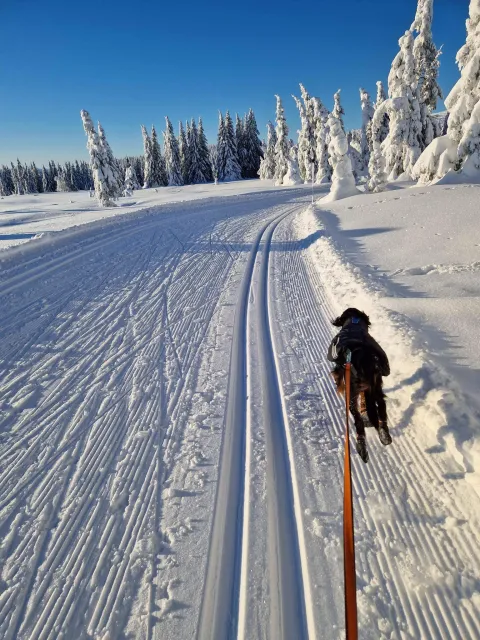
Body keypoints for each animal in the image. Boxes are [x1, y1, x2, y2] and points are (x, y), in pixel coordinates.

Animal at [328, 308, 392, 462]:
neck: (354, 323)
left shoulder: (341, 372)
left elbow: (337, 377)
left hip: (353, 395)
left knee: (358, 421)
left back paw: (361, 447)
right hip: (376, 387)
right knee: (381, 407)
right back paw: (384, 435)